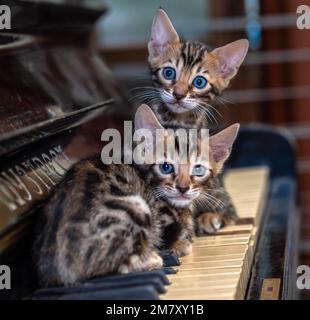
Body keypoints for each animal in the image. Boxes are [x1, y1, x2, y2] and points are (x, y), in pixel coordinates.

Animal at [34, 104, 239, 286]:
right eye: (166, 167)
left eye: (198, 169)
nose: (183, 188)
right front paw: (181, 245)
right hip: (135, 206)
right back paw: (152, 260)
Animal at [140, 9, 249, 235]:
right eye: (169, 72)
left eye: (199, 82)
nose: (179, 95)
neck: (178, 122)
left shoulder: (224, 199)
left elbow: (225, 211)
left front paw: (209, 217)